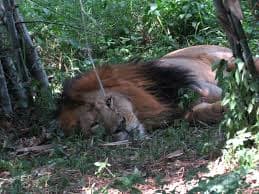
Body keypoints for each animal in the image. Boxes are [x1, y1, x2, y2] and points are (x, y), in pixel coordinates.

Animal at [55, 44, 258, 140]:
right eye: (94, 124)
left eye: (109, 101)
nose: (120, 127)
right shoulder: (184, 111)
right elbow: (201, 113)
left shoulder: (205, 85)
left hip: (222, 58)